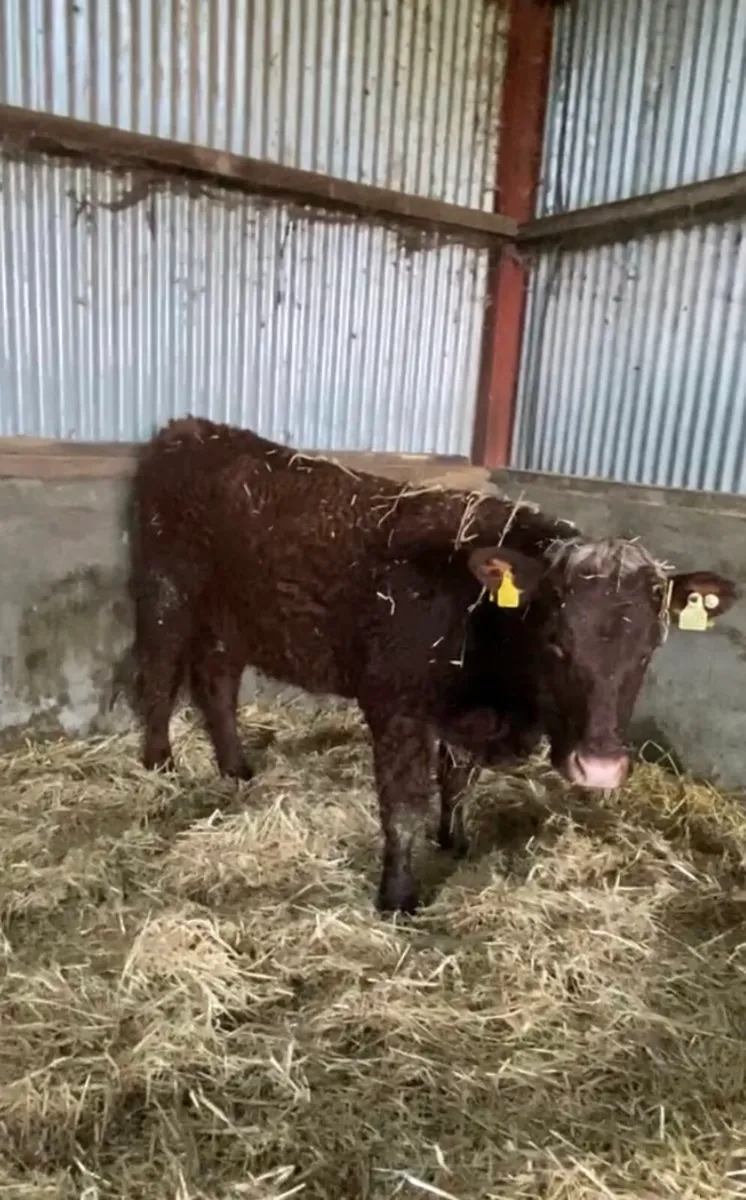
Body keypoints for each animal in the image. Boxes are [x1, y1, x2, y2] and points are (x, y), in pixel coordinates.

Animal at [126, 417, 738, 914]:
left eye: (649, 648)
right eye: (555, 642)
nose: (601, 768)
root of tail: (191, 430)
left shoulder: (465, 714)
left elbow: (460, 778)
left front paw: (457, 841)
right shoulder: (397, 707)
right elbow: (403, 807)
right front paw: (398, 898)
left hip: (232, 618)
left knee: (216, 681)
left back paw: (236, 767)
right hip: (165, 592)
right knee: (157, 675)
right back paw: (160, 764)